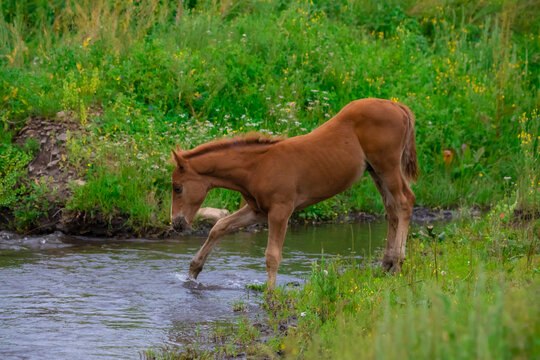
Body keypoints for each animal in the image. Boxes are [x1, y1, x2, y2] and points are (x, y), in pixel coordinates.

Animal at [169, 98, 418, 290]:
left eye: (177, 188)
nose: (176, 224)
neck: (258, 167)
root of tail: (397, 106)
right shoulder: (258, 210)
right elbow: (220, 226)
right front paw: (193, 271)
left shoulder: (280, 211)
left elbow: (272, 255)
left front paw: (269, 293)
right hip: (375, 171)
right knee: (391, 208)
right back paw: (386, 264)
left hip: (387, 166)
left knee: (405, 201)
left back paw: (398, 263)